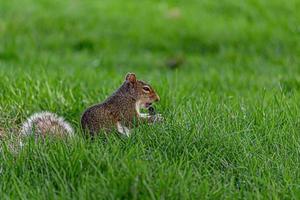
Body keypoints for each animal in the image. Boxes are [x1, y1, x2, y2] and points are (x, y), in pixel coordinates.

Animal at [19, 73, 162, 138]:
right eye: (146, 89)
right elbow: (133, 121)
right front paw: (156, 118)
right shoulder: (124, 108)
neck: (129, 96)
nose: (158, 99)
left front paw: (154, 115)